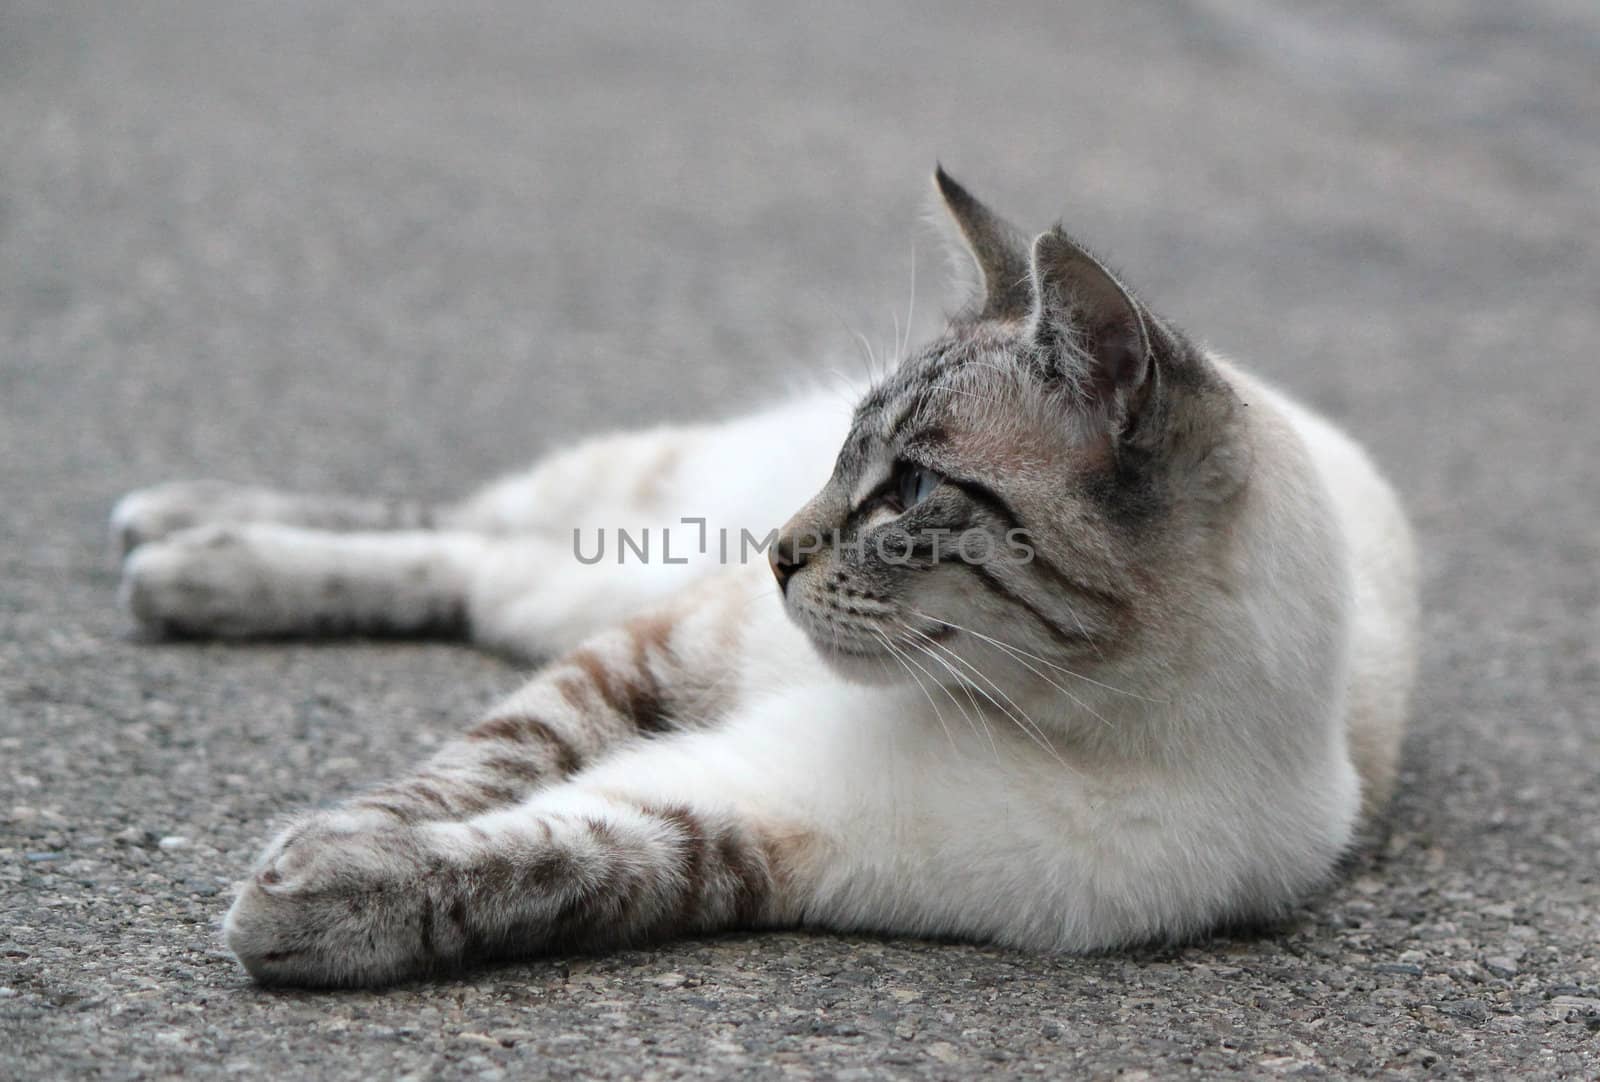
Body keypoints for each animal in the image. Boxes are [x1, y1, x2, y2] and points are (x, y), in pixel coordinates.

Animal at [109, 168, 1414, 985]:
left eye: (908, 489)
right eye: (844, 455)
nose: (778, 553)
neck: (1041, 717)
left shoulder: (753, 823)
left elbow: (556, 859)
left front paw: (308, 906)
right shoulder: (655, 650)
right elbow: (472, 769)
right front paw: (325, 846)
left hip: (583, 589)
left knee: (481, 569)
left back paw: (179, 560)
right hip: (650, 526)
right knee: (466, 522)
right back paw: (175, 535)